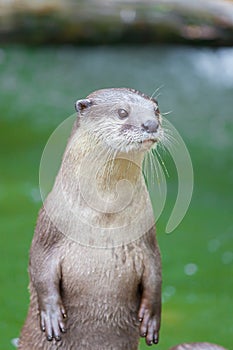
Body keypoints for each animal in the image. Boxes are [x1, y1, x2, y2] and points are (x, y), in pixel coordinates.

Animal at [18, 88, 163, 350]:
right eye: (122, 112)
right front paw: (52, 316)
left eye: (155, 110)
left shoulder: (148, 240)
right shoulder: (48, 229)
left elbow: (155, 275)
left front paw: (151, 318)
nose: (151, 124)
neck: (103, 216)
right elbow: (40, 268)